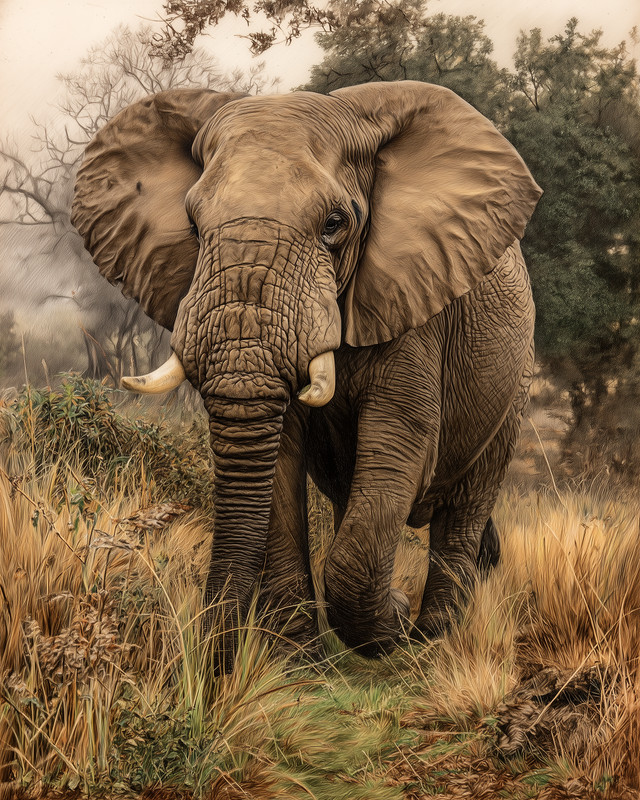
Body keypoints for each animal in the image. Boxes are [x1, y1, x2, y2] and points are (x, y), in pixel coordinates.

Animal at [71, 80, 542, 669]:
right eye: (194, 226)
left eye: (334, 224)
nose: (212, 659)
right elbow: (282, 453)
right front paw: (298, 661)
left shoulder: (411, 301)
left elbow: (400, 441)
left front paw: (391, 621)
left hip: (514, 380)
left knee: (465, 506)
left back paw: (433, 642)